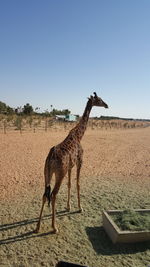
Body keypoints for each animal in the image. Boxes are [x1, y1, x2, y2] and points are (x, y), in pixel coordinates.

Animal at [35, 92, 108, 234]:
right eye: (99, 99)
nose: (107, 105)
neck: (79, 135)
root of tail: (51, 157)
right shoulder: (80, 162)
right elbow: (78, 183)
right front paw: (80, 208)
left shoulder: (70, 167)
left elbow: (69, 184)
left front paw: (68, 207)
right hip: (60, 173)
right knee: (53, 194)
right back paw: (54, 227)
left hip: (47, 172)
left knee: (45, 194)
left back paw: (37, 227)